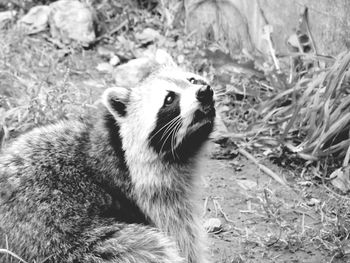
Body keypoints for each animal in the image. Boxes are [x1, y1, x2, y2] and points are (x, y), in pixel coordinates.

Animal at [0, 51, 215, 263]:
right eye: (169, 99)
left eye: (192, 79)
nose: (204, 91)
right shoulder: (159, 195)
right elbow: (182, 239)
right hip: (65, 243)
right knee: (150, 248)